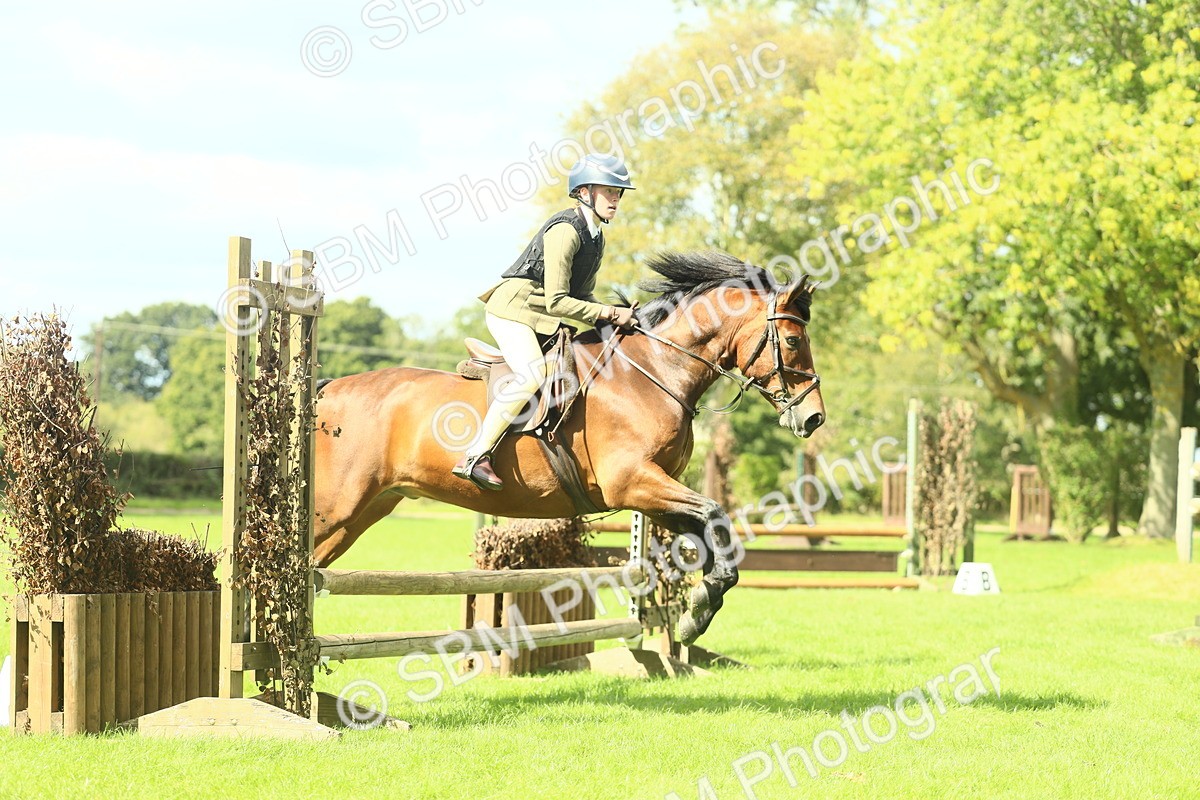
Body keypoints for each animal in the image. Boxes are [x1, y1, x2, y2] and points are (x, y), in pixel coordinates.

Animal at [312, 251, 825, 644]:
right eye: (793, 339)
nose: (813, 417)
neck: (654, 369)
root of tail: (328, 388)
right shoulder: (634, 483)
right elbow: (715, 513)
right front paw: (699, 606)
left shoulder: (654, 494)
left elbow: (711, 531)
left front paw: (695, 613)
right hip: (335, 506)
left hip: (366, 510)